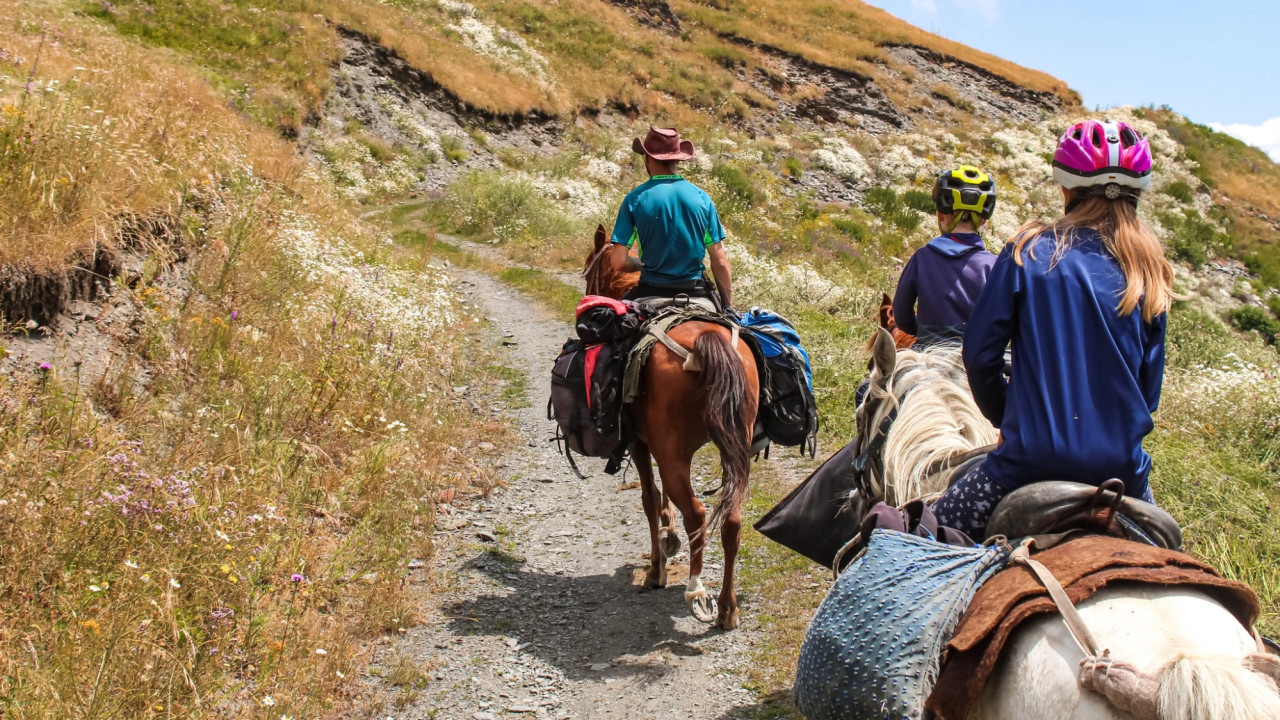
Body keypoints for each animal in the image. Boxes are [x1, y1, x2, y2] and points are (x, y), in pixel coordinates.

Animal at [583, 224, 757, 627]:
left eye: (586, 271)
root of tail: (705, 341)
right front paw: (668, 532)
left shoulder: (640, 443)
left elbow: (649, 500)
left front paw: (656, 568)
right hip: (731, 449)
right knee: (731, 520)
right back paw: (728, 607)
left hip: (671, 452)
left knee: (697, 513)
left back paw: (697, 592)